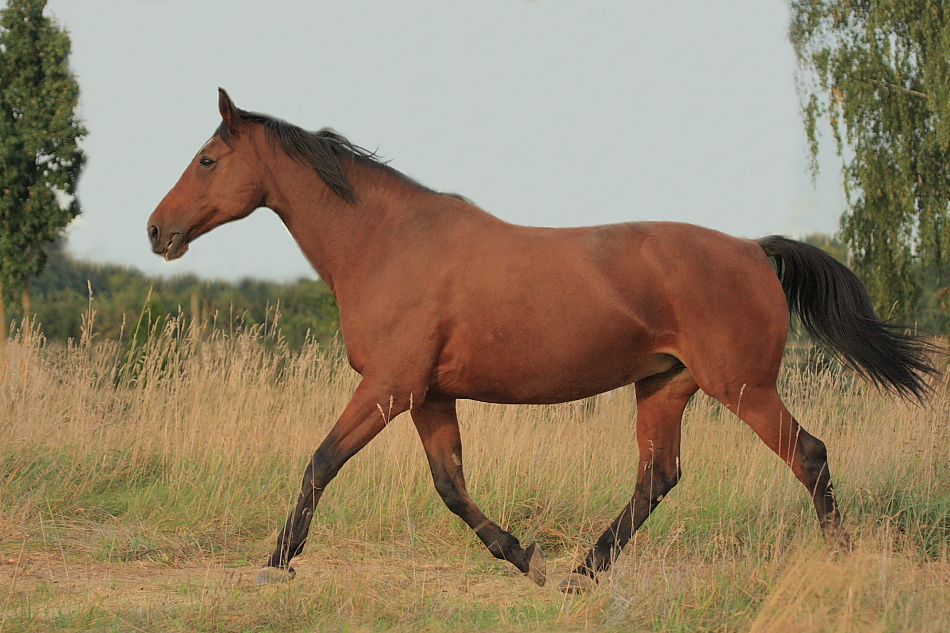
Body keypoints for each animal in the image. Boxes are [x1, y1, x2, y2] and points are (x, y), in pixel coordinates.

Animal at [147, 89, 936, 592]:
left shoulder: (389, 387)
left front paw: (275, 562)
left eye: (208, 160)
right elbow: (451, 487)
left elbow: (320, 463)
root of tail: (753, 249)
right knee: (658, 477)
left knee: (810, 455)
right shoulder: (428, 394)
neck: (387, 242)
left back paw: (838, 563)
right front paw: (526, 559)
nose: (157, 231)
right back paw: (582, 574)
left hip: (743, 386)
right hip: (665, 385)